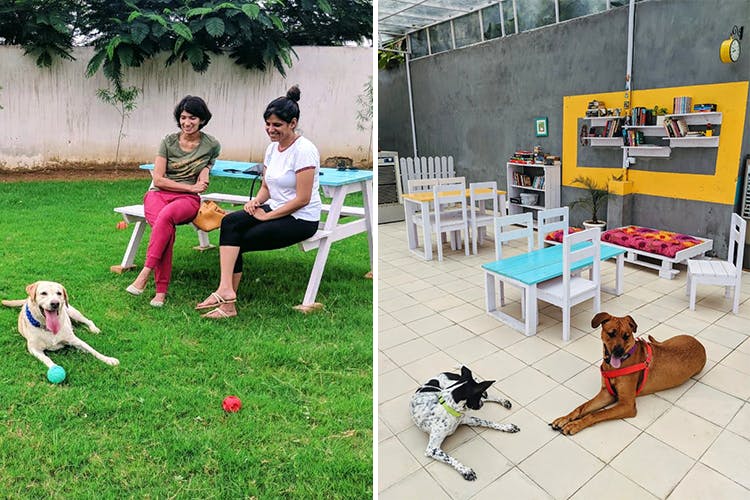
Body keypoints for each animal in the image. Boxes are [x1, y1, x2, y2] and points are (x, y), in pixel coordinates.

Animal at [548, 312, 708, 434]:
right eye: (611, 333)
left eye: (626, 336)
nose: (618, 352)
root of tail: (700, 344)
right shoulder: (606, 394)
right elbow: (582, 407)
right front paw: (565, 418)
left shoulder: (627, 404)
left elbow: (595, 414)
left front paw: (575, 425)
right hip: (666, 342)